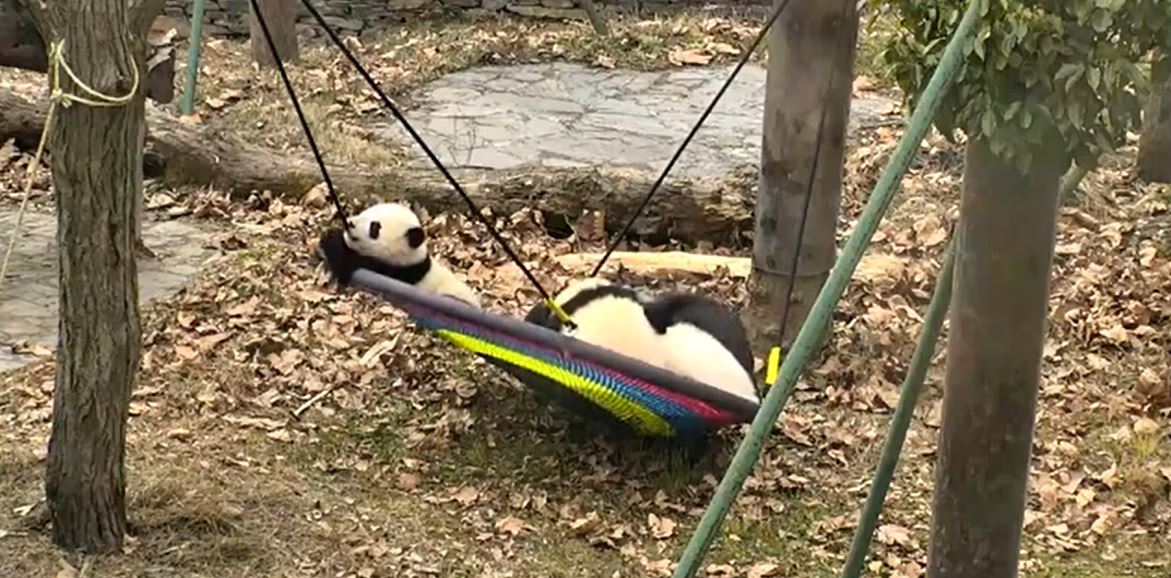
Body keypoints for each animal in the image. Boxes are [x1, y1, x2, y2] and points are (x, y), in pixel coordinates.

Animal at [318, 201, 482, 306]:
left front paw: (332, 238)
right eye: (365, 212)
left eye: (374, 227)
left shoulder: (398, 274)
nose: (351, 223)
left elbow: (351, 265)